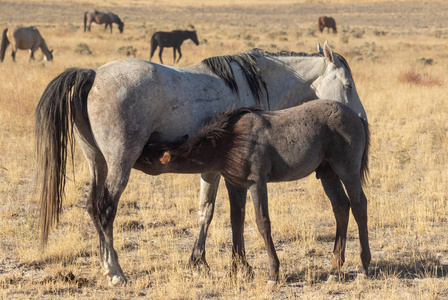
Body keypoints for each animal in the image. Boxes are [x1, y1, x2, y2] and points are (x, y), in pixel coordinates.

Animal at [139, 100, 372, 286]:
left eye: (146, 155)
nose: (134, 155)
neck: (230, 141)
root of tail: (357, 117)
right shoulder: (235, 185)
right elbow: (236, 222)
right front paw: (235, 271)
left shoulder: (257, 183)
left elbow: (262, 222)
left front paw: (273, 272)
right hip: (327, 173)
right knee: (341, 207)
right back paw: (335, 268)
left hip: (347, 170)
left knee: (359, 205)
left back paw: (364, 265)